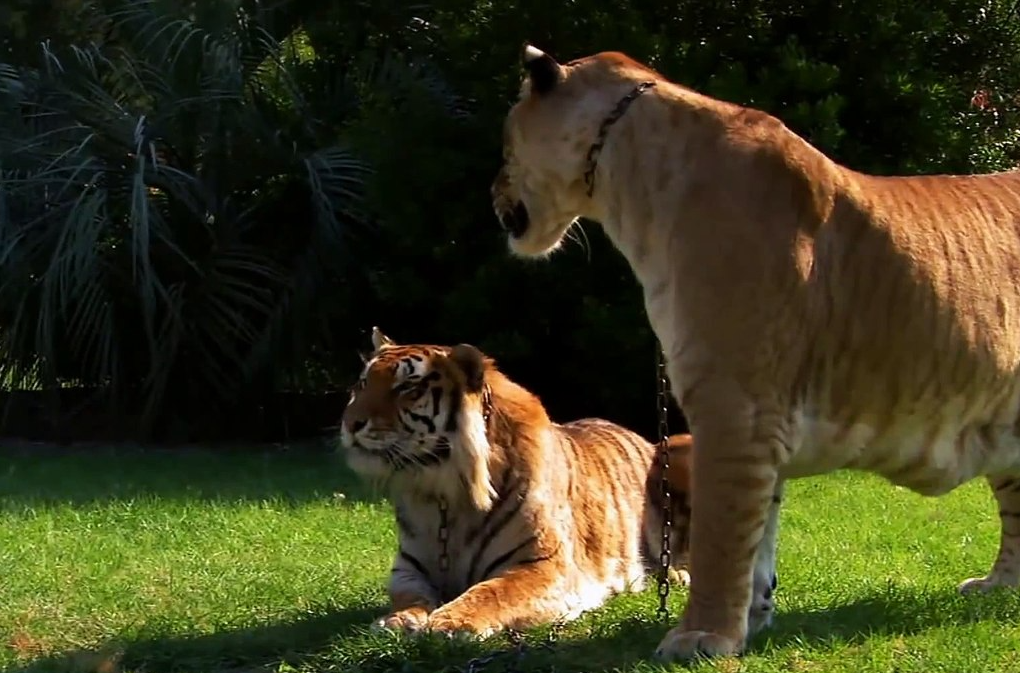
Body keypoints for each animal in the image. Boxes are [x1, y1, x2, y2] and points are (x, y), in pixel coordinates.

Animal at [338, 328, 697, 640]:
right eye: (362, 384)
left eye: (407, 388)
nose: (350, 423)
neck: (442, 494)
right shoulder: (408, 569)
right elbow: (408, 597)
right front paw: (396, 620)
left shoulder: (543, 565)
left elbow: (493, 591)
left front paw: (451, 622)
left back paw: (678, 575)